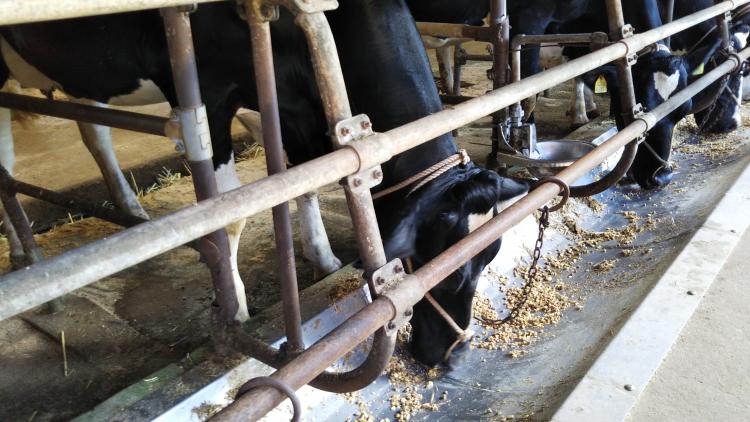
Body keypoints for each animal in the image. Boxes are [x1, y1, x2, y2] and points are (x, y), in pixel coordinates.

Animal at [1, 0, 528, 366]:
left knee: (93, 130)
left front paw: (322, 257)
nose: (454, 353)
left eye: (489, 258)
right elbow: (230, 214)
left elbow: (302, 179)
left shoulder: (291, 102)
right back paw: (25, 255)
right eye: (450, 271)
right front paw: (233, 310)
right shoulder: (208, 94)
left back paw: (128, 209)